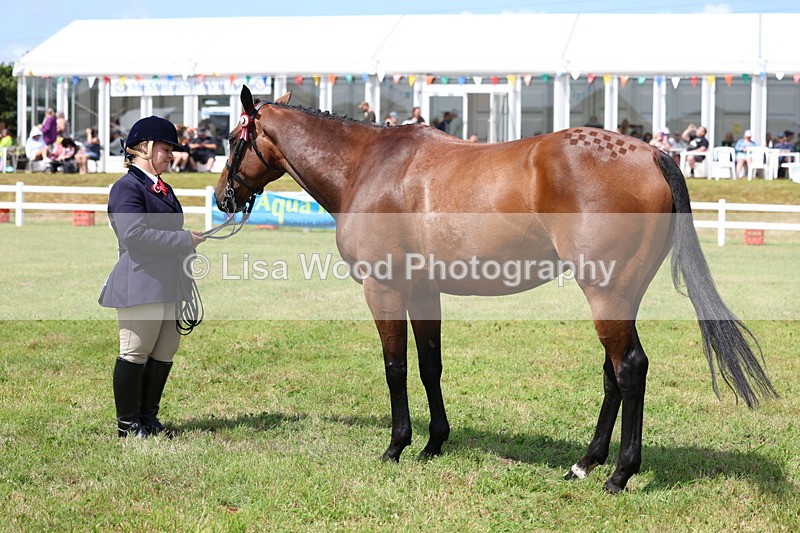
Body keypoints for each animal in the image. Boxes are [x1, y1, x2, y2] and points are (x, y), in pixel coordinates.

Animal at [214, 85, 776, 493]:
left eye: (233, 141)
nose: (222, 197)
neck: (368, 167)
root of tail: (651, 153)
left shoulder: (384, 289)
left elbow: (396, 368)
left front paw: (396, 446)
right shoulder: (424, 291)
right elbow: (429, 365)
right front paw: (434, 444)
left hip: (606, 294)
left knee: (630, 368)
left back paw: (619, 474)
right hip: (620, 296)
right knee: (613, 373)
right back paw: (585, 463)